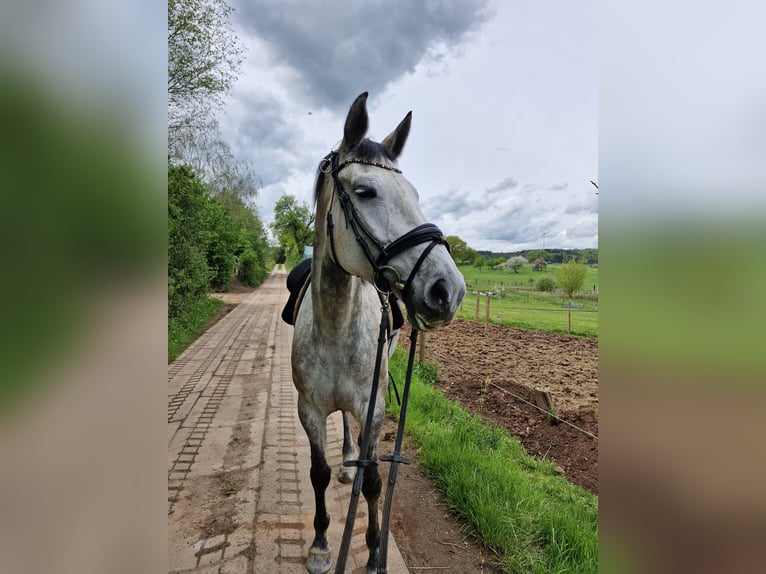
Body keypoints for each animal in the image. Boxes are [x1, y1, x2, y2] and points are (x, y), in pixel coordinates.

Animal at [290, 92, 464, 572]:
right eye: (365, 191)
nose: (448, 289)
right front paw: (321, 544)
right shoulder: (308, 409)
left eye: (416, 195)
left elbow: (372, 483)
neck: (334, 325)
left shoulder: (376, 407)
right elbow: (317, 473)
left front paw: (372, 553)